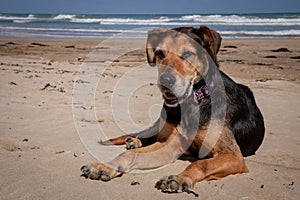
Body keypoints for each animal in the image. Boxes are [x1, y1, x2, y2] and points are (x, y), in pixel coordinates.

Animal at [80, 25, 264, 194]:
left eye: (188, 54)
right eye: (160, 54)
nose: (165, 81)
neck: (192, 102)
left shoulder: (233, 156)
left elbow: (200, 163)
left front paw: (180, 178)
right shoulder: (170, 145)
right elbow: (131, 155)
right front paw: (104, 166)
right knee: (148, 135)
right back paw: (133, 141)